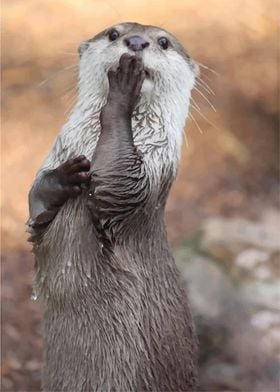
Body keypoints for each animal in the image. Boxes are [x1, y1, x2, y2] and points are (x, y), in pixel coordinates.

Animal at [27, 22, 199, 392]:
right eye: (113, 33)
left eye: (163, 42)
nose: (135, 42)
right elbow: (37, 205)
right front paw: (65, 178)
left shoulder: (142, 180)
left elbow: (114, 183)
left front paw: (122, 93)